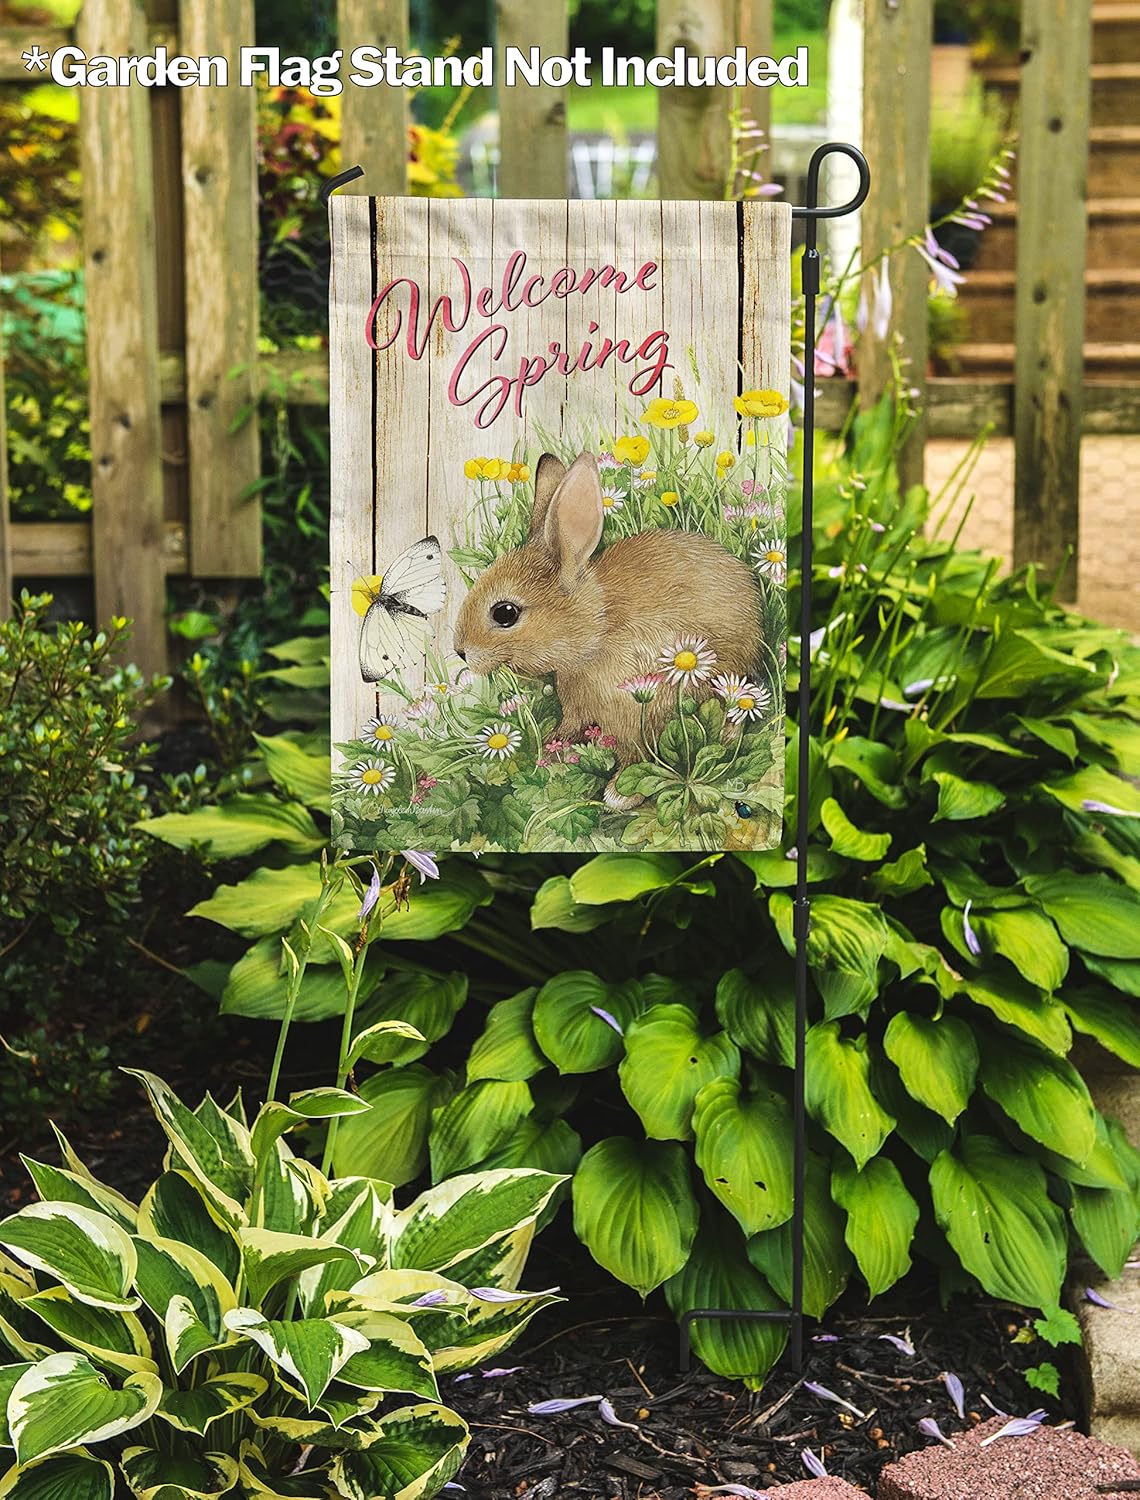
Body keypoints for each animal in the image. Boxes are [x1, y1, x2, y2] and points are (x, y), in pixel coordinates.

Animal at [453, 451, 765, 807]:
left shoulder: (643, 710)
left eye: (505, 613)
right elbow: (570, 729)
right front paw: (552, 749)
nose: (460, 651)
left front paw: (619, 795)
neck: (599, 628)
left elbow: (638, 756)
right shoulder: (578, 709)